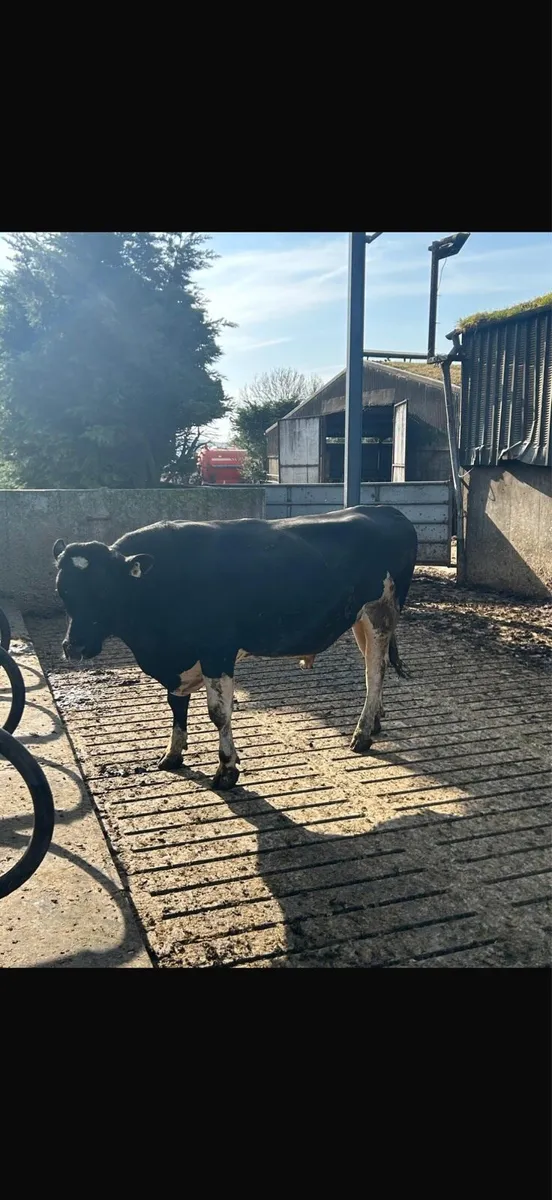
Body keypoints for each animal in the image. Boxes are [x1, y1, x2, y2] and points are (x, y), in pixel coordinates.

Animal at [53, 505, 417, 791]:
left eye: (104, 590)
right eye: (62, 590)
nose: (74, 646)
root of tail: (387, 510)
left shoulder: (217, 651)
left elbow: (218, 713)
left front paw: (227, 770)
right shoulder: (178, 661)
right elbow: (175, 704)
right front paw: (172, 754)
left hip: (381, 611)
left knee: (375, 670)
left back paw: (362, 734)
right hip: (359, 619)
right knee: (374, 666)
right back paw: (376, 719)